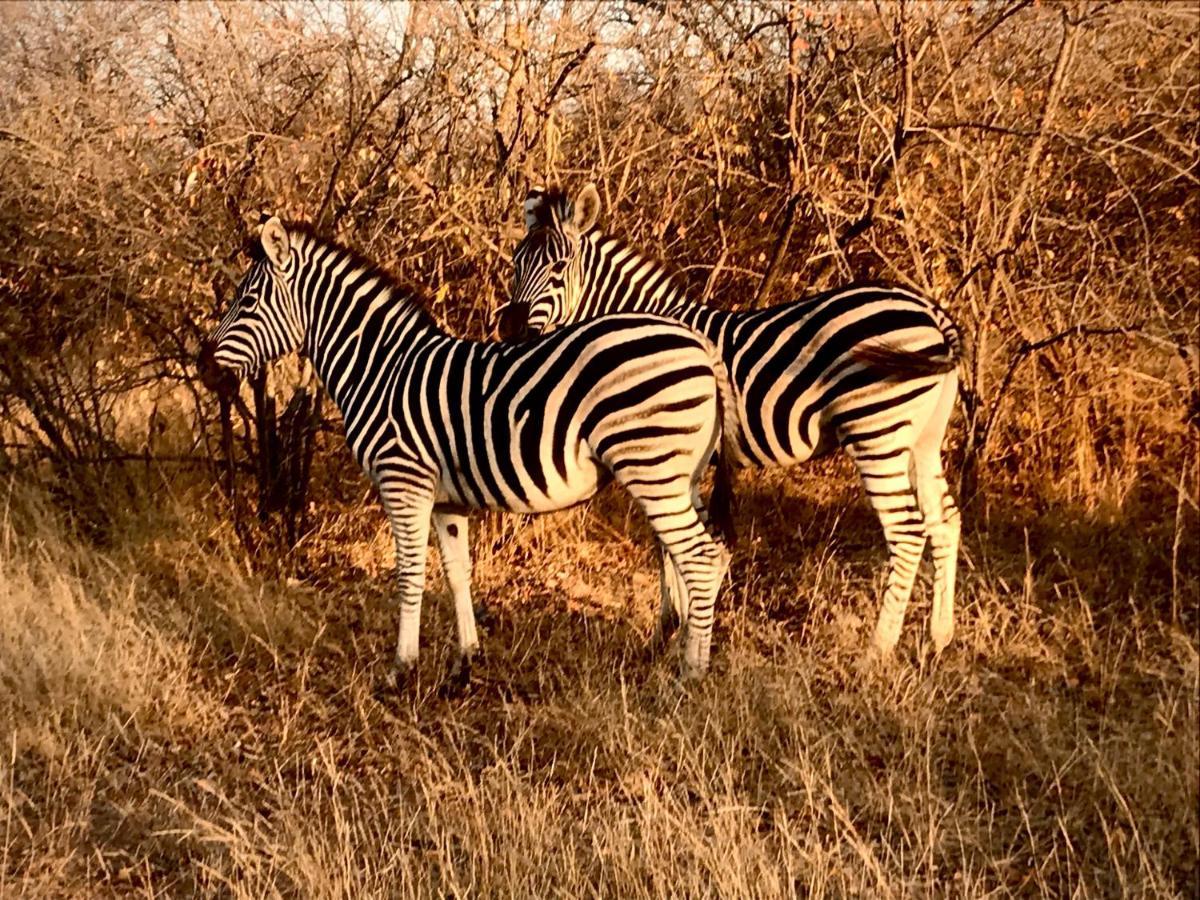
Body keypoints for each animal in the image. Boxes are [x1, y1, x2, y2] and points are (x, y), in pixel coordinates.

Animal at [201, 217, 734, 681]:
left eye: (247, 301)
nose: (205, 368)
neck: (382, 369)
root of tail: (701, 345)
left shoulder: (404, 482)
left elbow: (410, 575)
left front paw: (401, 669)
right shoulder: (446, 500)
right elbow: (458, 574)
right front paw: (465, 663)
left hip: (651, 466)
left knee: (701, 559)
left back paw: (691, 674)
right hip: (680, 476)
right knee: (705, 556)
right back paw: (688, 660)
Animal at [499, 184, 964, 662]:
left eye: (558, 267)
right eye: (515, 262)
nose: (510, 328)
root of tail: (931, 311)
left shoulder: (658, 447)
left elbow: (668, 543)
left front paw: (670, 630)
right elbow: (680, 543)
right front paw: (682, 627)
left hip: (876, 432)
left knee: (907, 532)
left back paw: (877, 650)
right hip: (923, 440)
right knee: (945, 520)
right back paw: (939, 638)